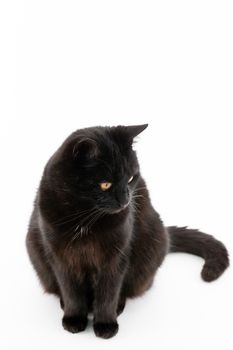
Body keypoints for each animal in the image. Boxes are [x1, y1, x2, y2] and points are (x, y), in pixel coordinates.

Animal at [26, 124, 228, 338]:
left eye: (131, 178)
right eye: (105, 184)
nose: (125, 200)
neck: (85, 219)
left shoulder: (116, 256)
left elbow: (108, 293)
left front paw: (106, 325)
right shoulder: (61, 257)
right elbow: (71, 291)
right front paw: (73, 320)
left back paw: (118, 307)